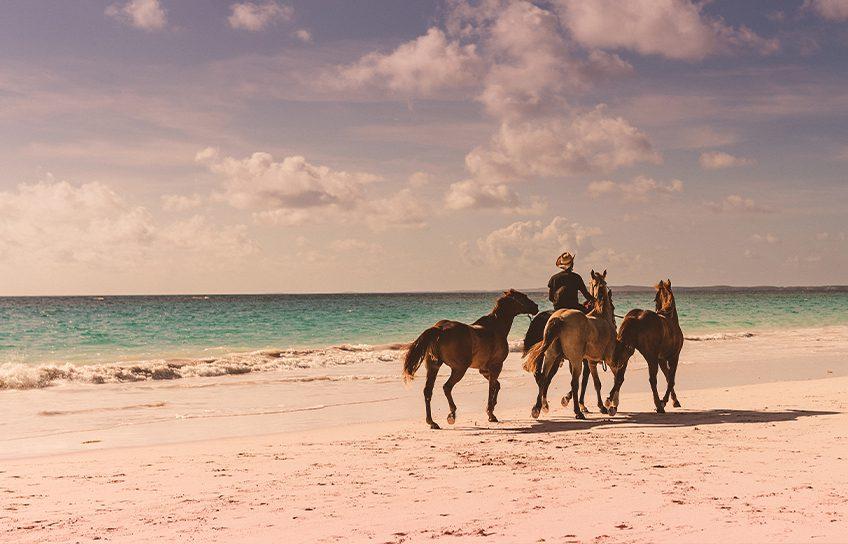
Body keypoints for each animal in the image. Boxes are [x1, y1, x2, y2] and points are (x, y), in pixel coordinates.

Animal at [402, 288, 536, 430]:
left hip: (434, 366)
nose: (536, 307)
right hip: (459, 369)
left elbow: (496, 385)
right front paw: (491, 414)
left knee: (428, 391)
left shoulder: (484, 370)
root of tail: (440, 328)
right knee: (446, 387)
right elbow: (492, 387)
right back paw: (451, 415)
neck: (496, 328)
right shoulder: (496, 366)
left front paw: (492, 408)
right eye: (524, 296)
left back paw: (432, 422)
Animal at [524, 270, 616, 420]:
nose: (615, 322)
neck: (601, 315)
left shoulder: (590, 361)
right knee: (573, 382)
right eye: (613, 307)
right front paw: (600, 406)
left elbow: (595, 383)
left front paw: (600, 406)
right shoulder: (596, 360)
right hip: (574, 360)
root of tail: (559, 318)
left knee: (544, 378)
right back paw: (577, 411)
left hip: (551, 357)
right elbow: (590, 382)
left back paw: (538, 408)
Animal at [608, 278, 684, 414]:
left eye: (655, 299)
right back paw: (659, 405)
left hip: (626, 354)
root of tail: (636, 317)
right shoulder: (673, 357)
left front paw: (674, 401)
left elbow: (668, 378)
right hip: (650, 358)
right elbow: (671, 380)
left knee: (619, 377)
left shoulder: (661, 359)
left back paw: (611, 404)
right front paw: (665, 401)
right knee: (652, 380)